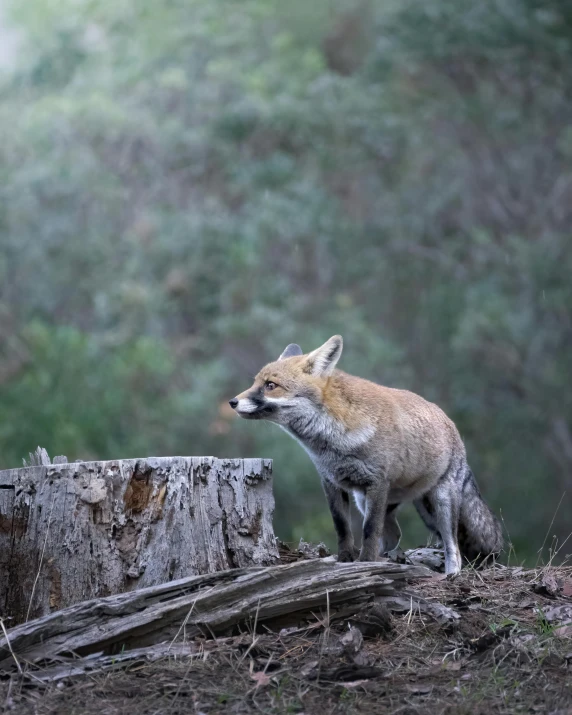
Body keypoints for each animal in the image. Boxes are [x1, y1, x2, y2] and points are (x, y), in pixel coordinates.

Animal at [230, 336, 502, 576]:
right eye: (255, 383)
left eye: (270, 385)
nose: (232, 402)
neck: (333, 443)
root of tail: (450, 423)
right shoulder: (332, 483)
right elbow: (343, 528)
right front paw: (346, 560)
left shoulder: (377, 483)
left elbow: (370, 530)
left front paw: (367, 564)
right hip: (375, 502)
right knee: (394, 535)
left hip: (440, 503)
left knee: (451, 545)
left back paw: (450, 574)